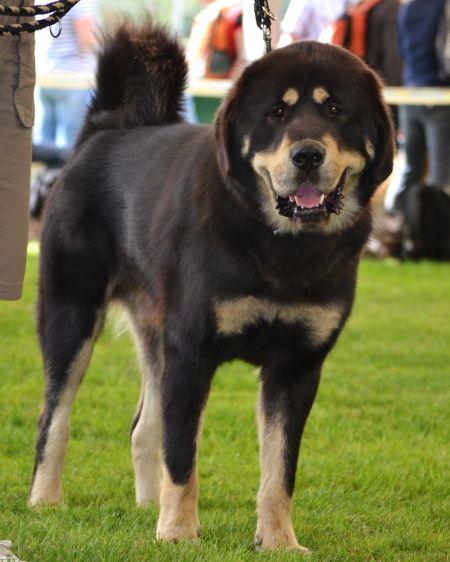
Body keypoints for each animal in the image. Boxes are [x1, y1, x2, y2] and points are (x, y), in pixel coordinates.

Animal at [30, 19, 394, 548]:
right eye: (277, 113)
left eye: (335, 110)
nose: (307, 155)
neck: (281, 247)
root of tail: (105, 128)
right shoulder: (192, 352)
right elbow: (183, 456)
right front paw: (179, 533)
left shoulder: (296, 367)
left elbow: (279, 468)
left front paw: (279, 542)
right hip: (72, 314)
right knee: (54, 416)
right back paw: (46, 500)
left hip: (154, 334)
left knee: (143, 428)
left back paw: (147, 505)